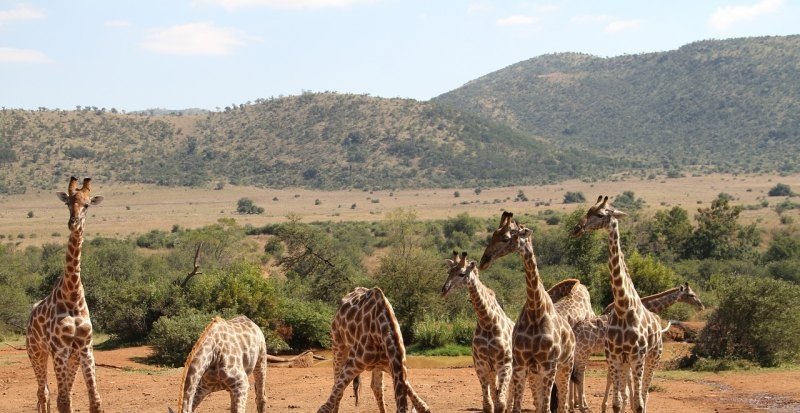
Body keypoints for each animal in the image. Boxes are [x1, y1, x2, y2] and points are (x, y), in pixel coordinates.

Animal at [26, 176, 104, 412]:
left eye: (87, 205)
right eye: (68, 203)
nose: (73, 223)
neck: (73, 295)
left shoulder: (85, 348)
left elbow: (94, 400)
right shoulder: (59, 349)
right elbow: (63, 401)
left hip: (72, 358)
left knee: (58, 392)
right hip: (36, 352)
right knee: (43, 393)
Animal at [440, 251, 516, 412]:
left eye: (462, 273)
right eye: (449, 272)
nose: (444, 290)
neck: (487, 321)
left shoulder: (505, 365)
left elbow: (501, 404)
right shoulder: (481, 365)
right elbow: (488, 404)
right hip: (493, 370)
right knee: (495, 392)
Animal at [482, 212, 576, 412]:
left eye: (506, 238)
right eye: (493, 234)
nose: (484, 261)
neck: (535, 309)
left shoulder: (549, 365)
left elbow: (547, 408)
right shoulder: (520, 365)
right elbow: (518, 407)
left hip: (565, 366)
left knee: (561, 405)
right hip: (536, 373)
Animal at [572, 196, 664, 412]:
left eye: (600, 214)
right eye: (587, 211)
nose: (576, 229)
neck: (623, 307)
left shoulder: (637, 356)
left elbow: (637, 404)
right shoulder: (615, 357)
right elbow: (618, 403)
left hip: (652, 357)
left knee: (644, 394)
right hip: (625, 362)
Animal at [572, 282, 704, 410]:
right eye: (691, 295)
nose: (701, 306)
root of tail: (574, 330)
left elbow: (621, 377)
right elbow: (624, 378)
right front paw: (628, 403)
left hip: (581, 352)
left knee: (576, 375)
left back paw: (577, 404)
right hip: (584, 352)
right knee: (579, 375)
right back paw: (582, 405)